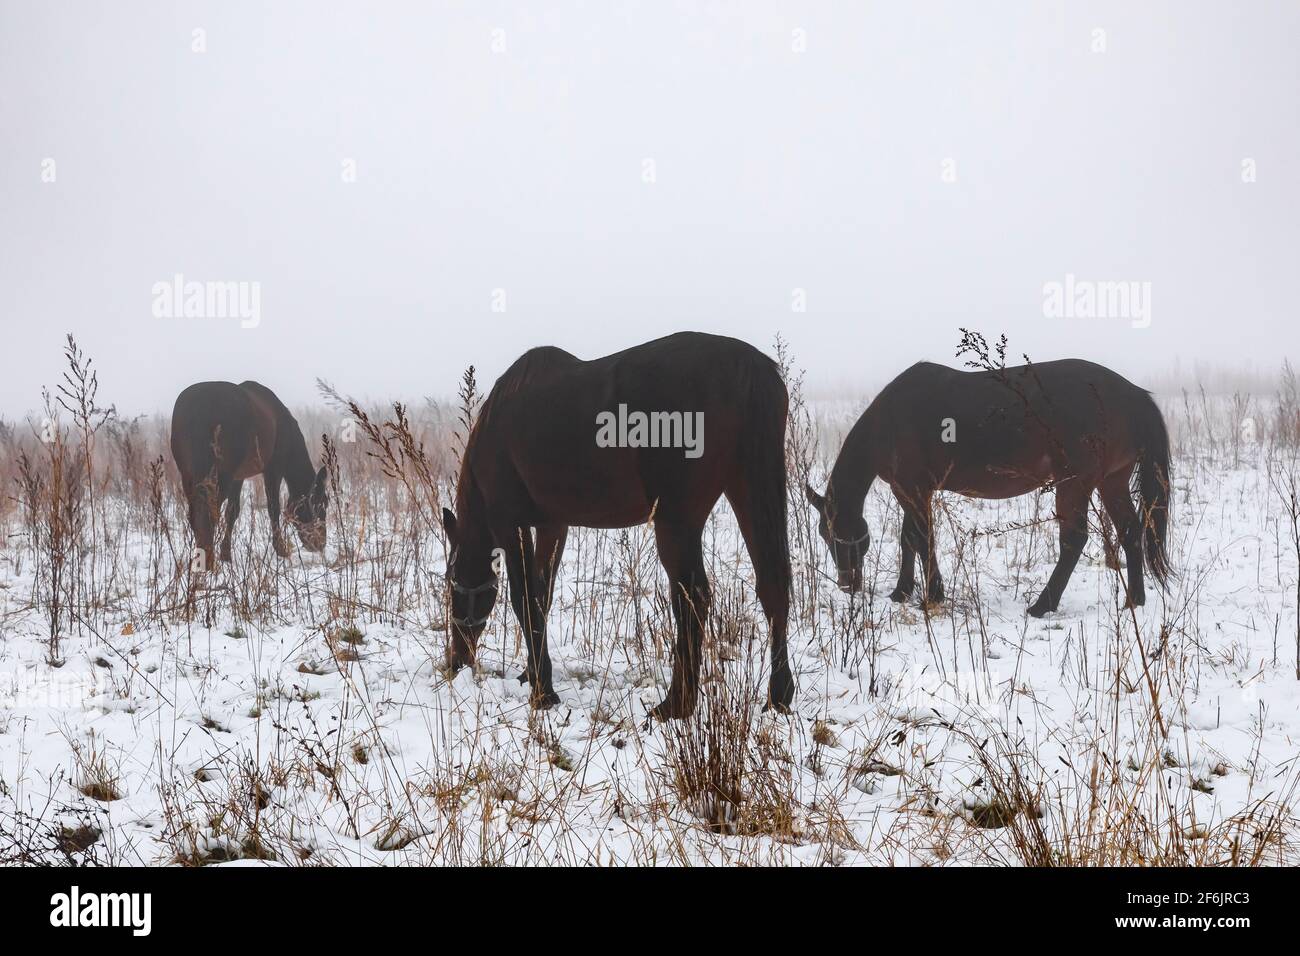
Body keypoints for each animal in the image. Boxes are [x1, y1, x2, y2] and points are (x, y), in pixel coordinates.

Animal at [171, 382, 330, 572]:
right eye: (323, 503)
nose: (320, 544)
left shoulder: (238, 477)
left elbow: (232, 512)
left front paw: (226, 555)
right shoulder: (273, 469)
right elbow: (273, 508)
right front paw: (281, 549)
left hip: (189, 476)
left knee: (195, 515)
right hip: (220, 477)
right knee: (209, 515)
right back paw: (208, 562)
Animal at [447, 330, 790, 717]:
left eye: (451, 587)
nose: (456, 660)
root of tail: (745, 365)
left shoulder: (510, 524)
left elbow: (524, 599)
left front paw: (543, 690)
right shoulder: (554, 526)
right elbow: (542, 596)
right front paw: (531, 674)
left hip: (678, 520)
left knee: (693, 598)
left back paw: (676, 704)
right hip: (748, 489)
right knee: (772, 585)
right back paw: (778, 695)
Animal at [806, 361, 1175, 621]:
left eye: (834, 532)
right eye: (823, 534)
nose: (847, 584)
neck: (890, 421)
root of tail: (1133, 395)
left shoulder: (912, 488)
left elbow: (921, 538)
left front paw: (932, 595)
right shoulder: (912, 490)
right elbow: (909, 538)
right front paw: (902, 592)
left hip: (1075, 484)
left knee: (1074, 540)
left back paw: (1042, 605)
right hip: (1111, 481)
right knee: (1131, 532)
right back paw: (1134, 601)